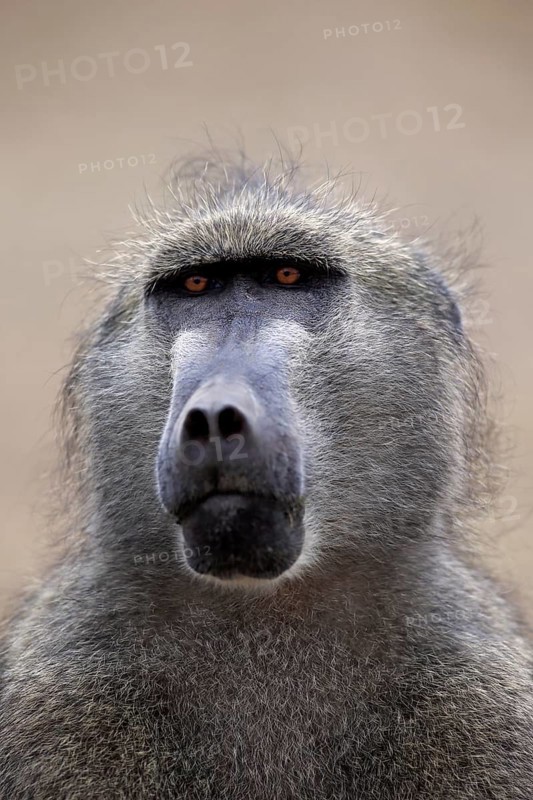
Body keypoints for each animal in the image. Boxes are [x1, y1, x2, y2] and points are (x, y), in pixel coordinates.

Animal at [0, 152, 532, 799]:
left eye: (287, 277)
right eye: (196, 286)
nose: (213, 417)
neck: (266, 616)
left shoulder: (481, 694)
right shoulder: (60, 685)